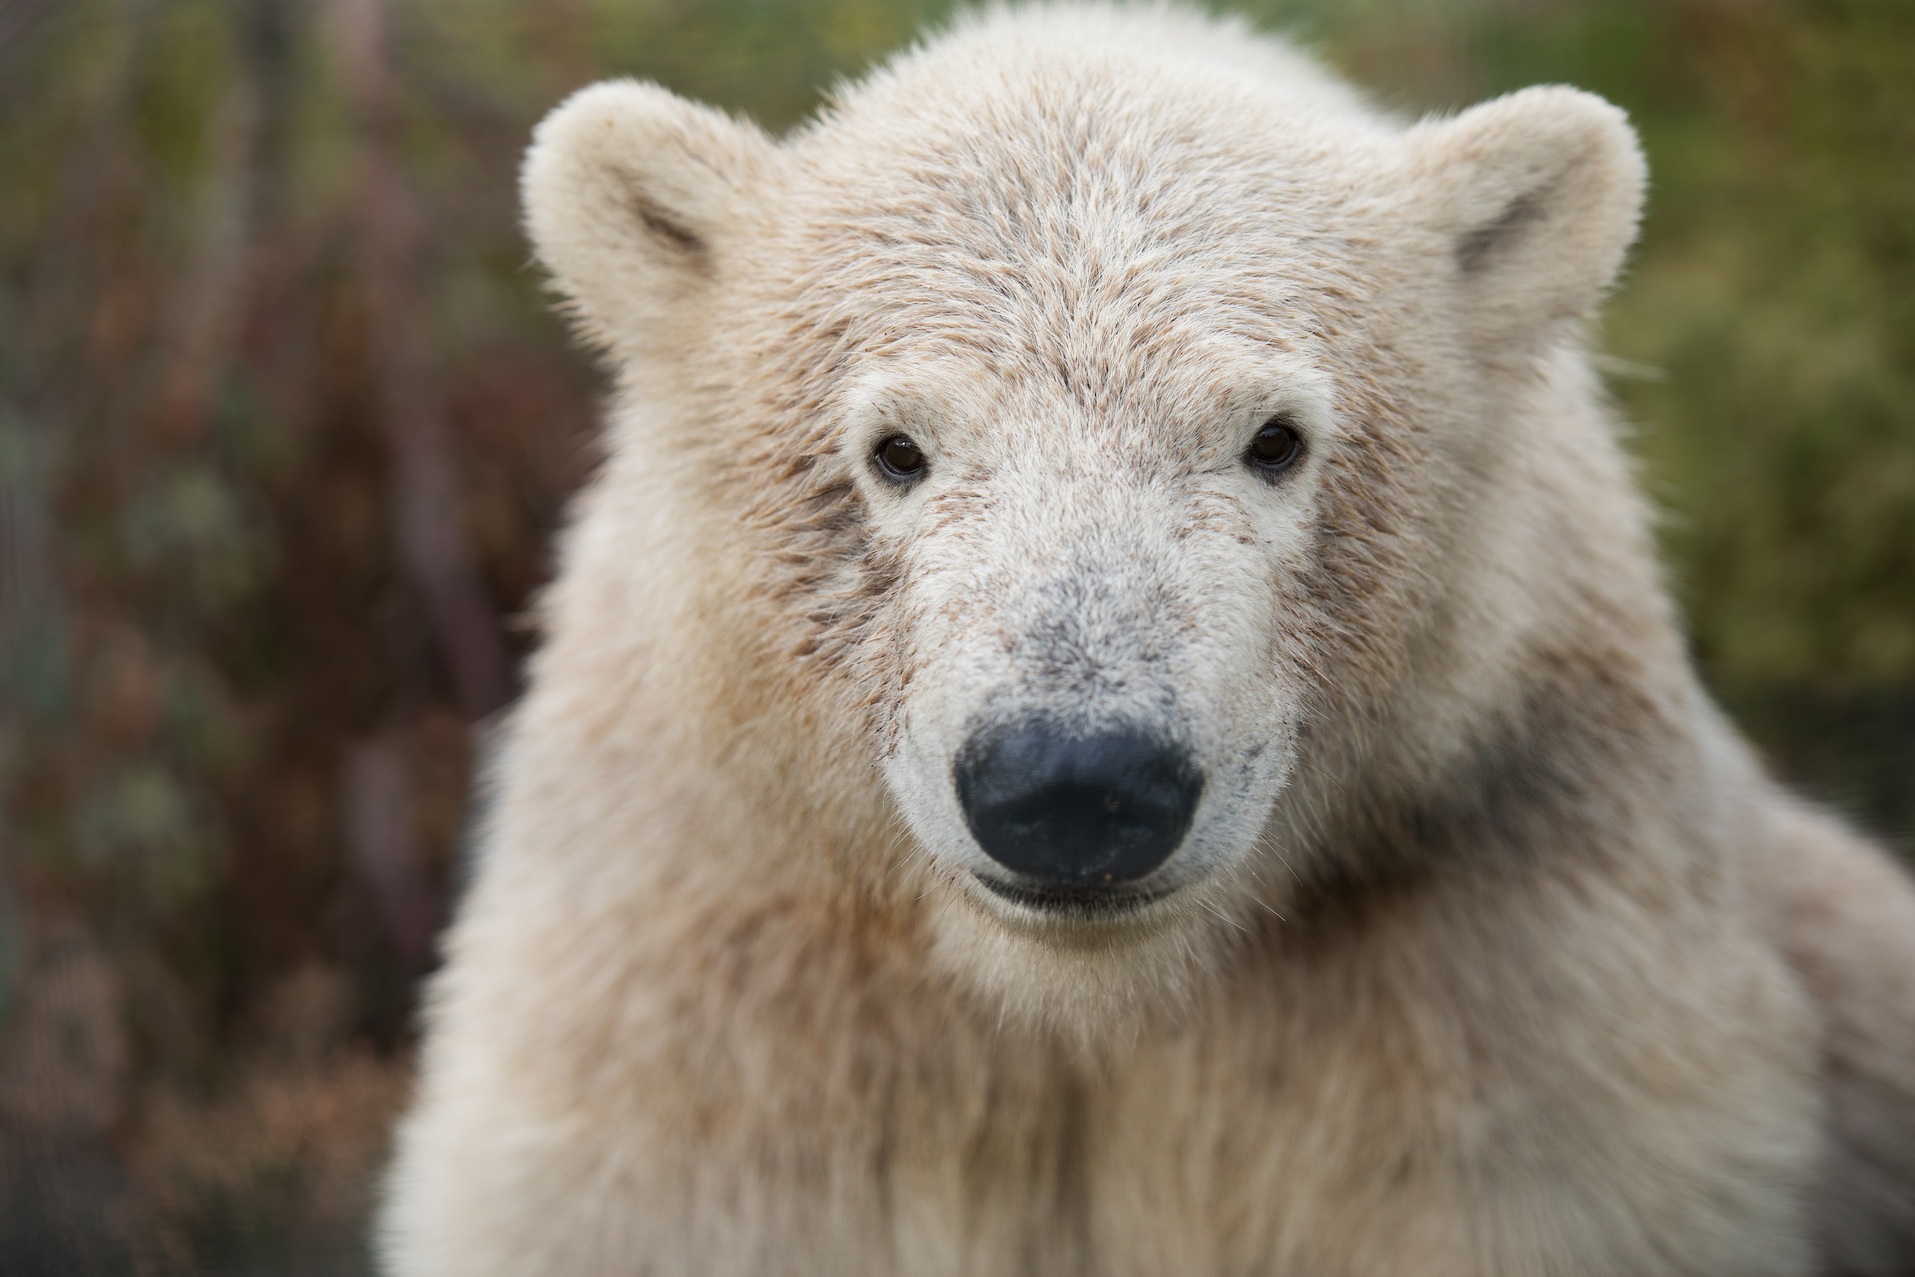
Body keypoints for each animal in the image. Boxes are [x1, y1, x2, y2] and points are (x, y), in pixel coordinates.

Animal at [381, 4, 1915, 1271]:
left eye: (1274, 438)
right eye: (894, 448)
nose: (1072, 783)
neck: (1089, 1003)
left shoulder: (1508, 945)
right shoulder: (711, 983)